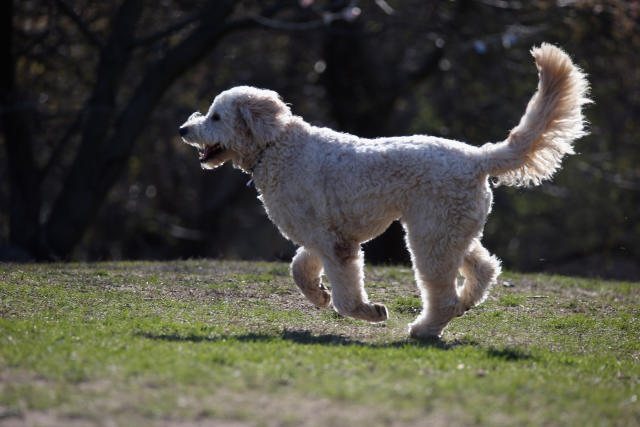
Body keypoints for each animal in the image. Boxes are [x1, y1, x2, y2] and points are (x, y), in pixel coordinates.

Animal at [179, 42, 592, 338]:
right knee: (485, 268)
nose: (184, 129)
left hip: (430, 237)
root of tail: (477, 157)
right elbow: (299, 268)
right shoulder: (324, 236)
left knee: (443, 295)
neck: (278, 146)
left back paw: (424, 329)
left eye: (216, 116)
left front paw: (370, 312)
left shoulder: (335, 244)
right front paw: (318, 295)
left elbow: (345, 296)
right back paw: (464, 305)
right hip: (452, 230)